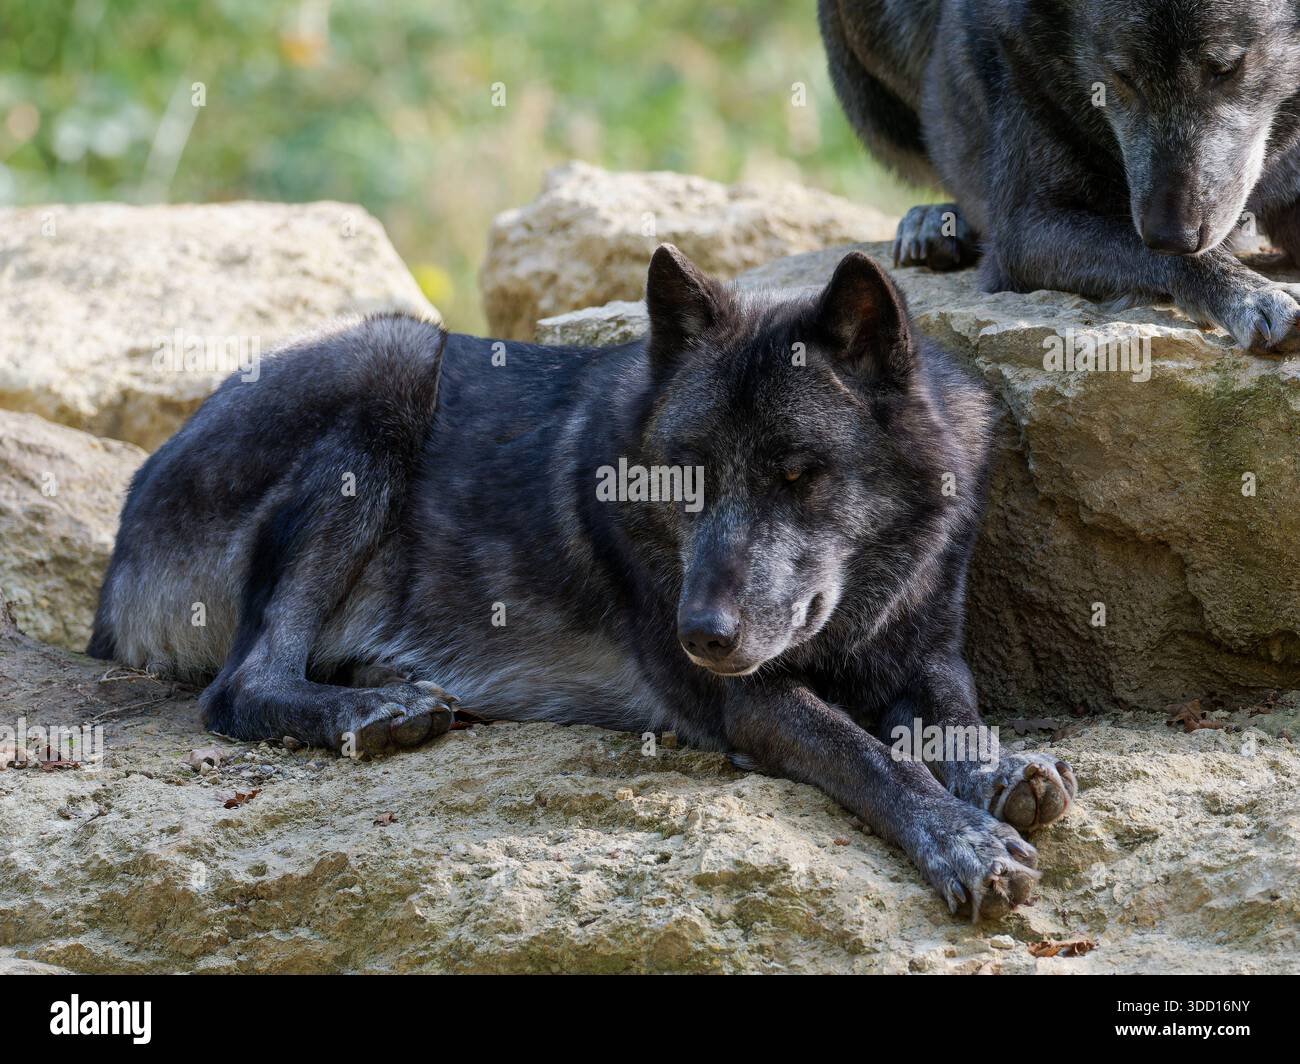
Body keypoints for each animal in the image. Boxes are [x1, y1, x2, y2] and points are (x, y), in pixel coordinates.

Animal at [88, 245, 1075, 918]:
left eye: (800, 474)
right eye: (686, 478)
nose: (700, 635)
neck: (865, 600)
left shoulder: (926, 651)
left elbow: (953, 715)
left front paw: (1000, 769)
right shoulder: (746, 700)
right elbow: (868, 755)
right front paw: (963, 840)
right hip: (390, 366)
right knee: (238, 685)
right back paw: (370, 713)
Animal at [820, 0, 1300, 350]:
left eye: (1225, 69)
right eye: (1122, 76)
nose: (1170, 236)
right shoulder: (1024, 232)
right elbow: (1170, 259)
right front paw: (1252, 294)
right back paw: (934, 222)